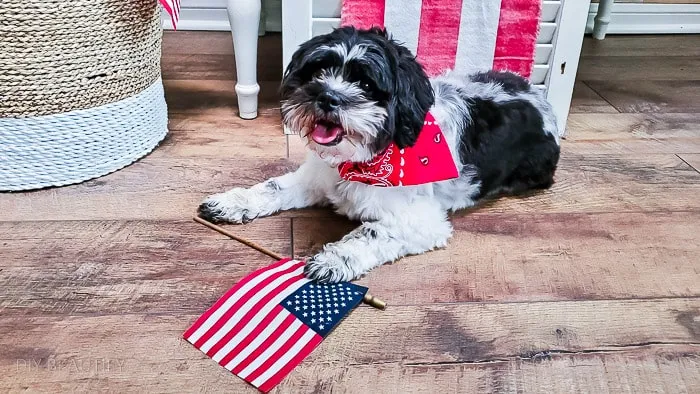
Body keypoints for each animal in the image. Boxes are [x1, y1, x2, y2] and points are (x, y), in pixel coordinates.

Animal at [200, 26, 560, 284]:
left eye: (366, 84)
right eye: (318, 71)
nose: (327, 97)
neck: (363, 160)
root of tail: (538, 98)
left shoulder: (421, 220)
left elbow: (371, 232)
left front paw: (332, 260)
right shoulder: (315, 179)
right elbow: (272, 187)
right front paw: (231, 203)